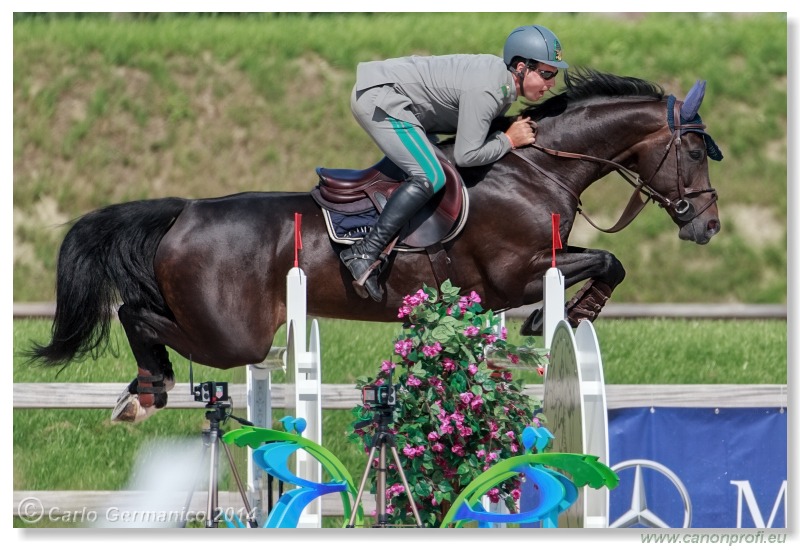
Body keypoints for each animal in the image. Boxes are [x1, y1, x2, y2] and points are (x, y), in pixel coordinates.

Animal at [28, 69, 720, 422]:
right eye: (692, 151)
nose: (706, 226)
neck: (532, 168)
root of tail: (186, 210)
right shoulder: (513, 277)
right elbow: (607, 260)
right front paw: (567, 316)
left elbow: (605, 260)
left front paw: (562, 317)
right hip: (232, 336)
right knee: (135, 313)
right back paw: (148, 388)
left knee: (139, 312)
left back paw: (141, 391)